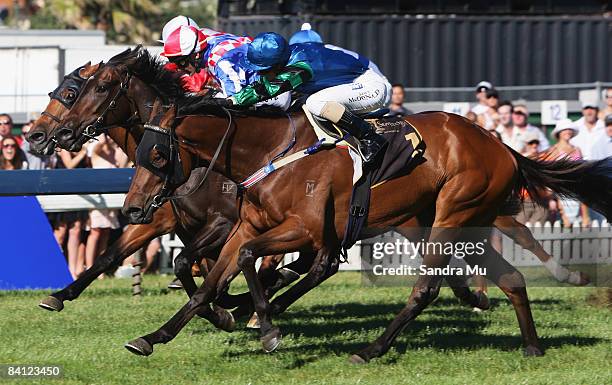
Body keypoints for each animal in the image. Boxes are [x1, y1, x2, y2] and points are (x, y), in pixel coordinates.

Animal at [55, 48, 608, 360]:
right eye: (139, 153)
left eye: (91, 87)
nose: (131, 208)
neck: (265, 149)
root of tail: (500, 145)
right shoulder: (241, 226)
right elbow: (203, 279)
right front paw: (156, 335)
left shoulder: (299, 227)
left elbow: (246, 264)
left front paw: (264, 324)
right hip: (441, 219)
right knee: (507, 276)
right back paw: (530, 343)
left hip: (452, 214)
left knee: (427, 284)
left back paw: (371, 348)